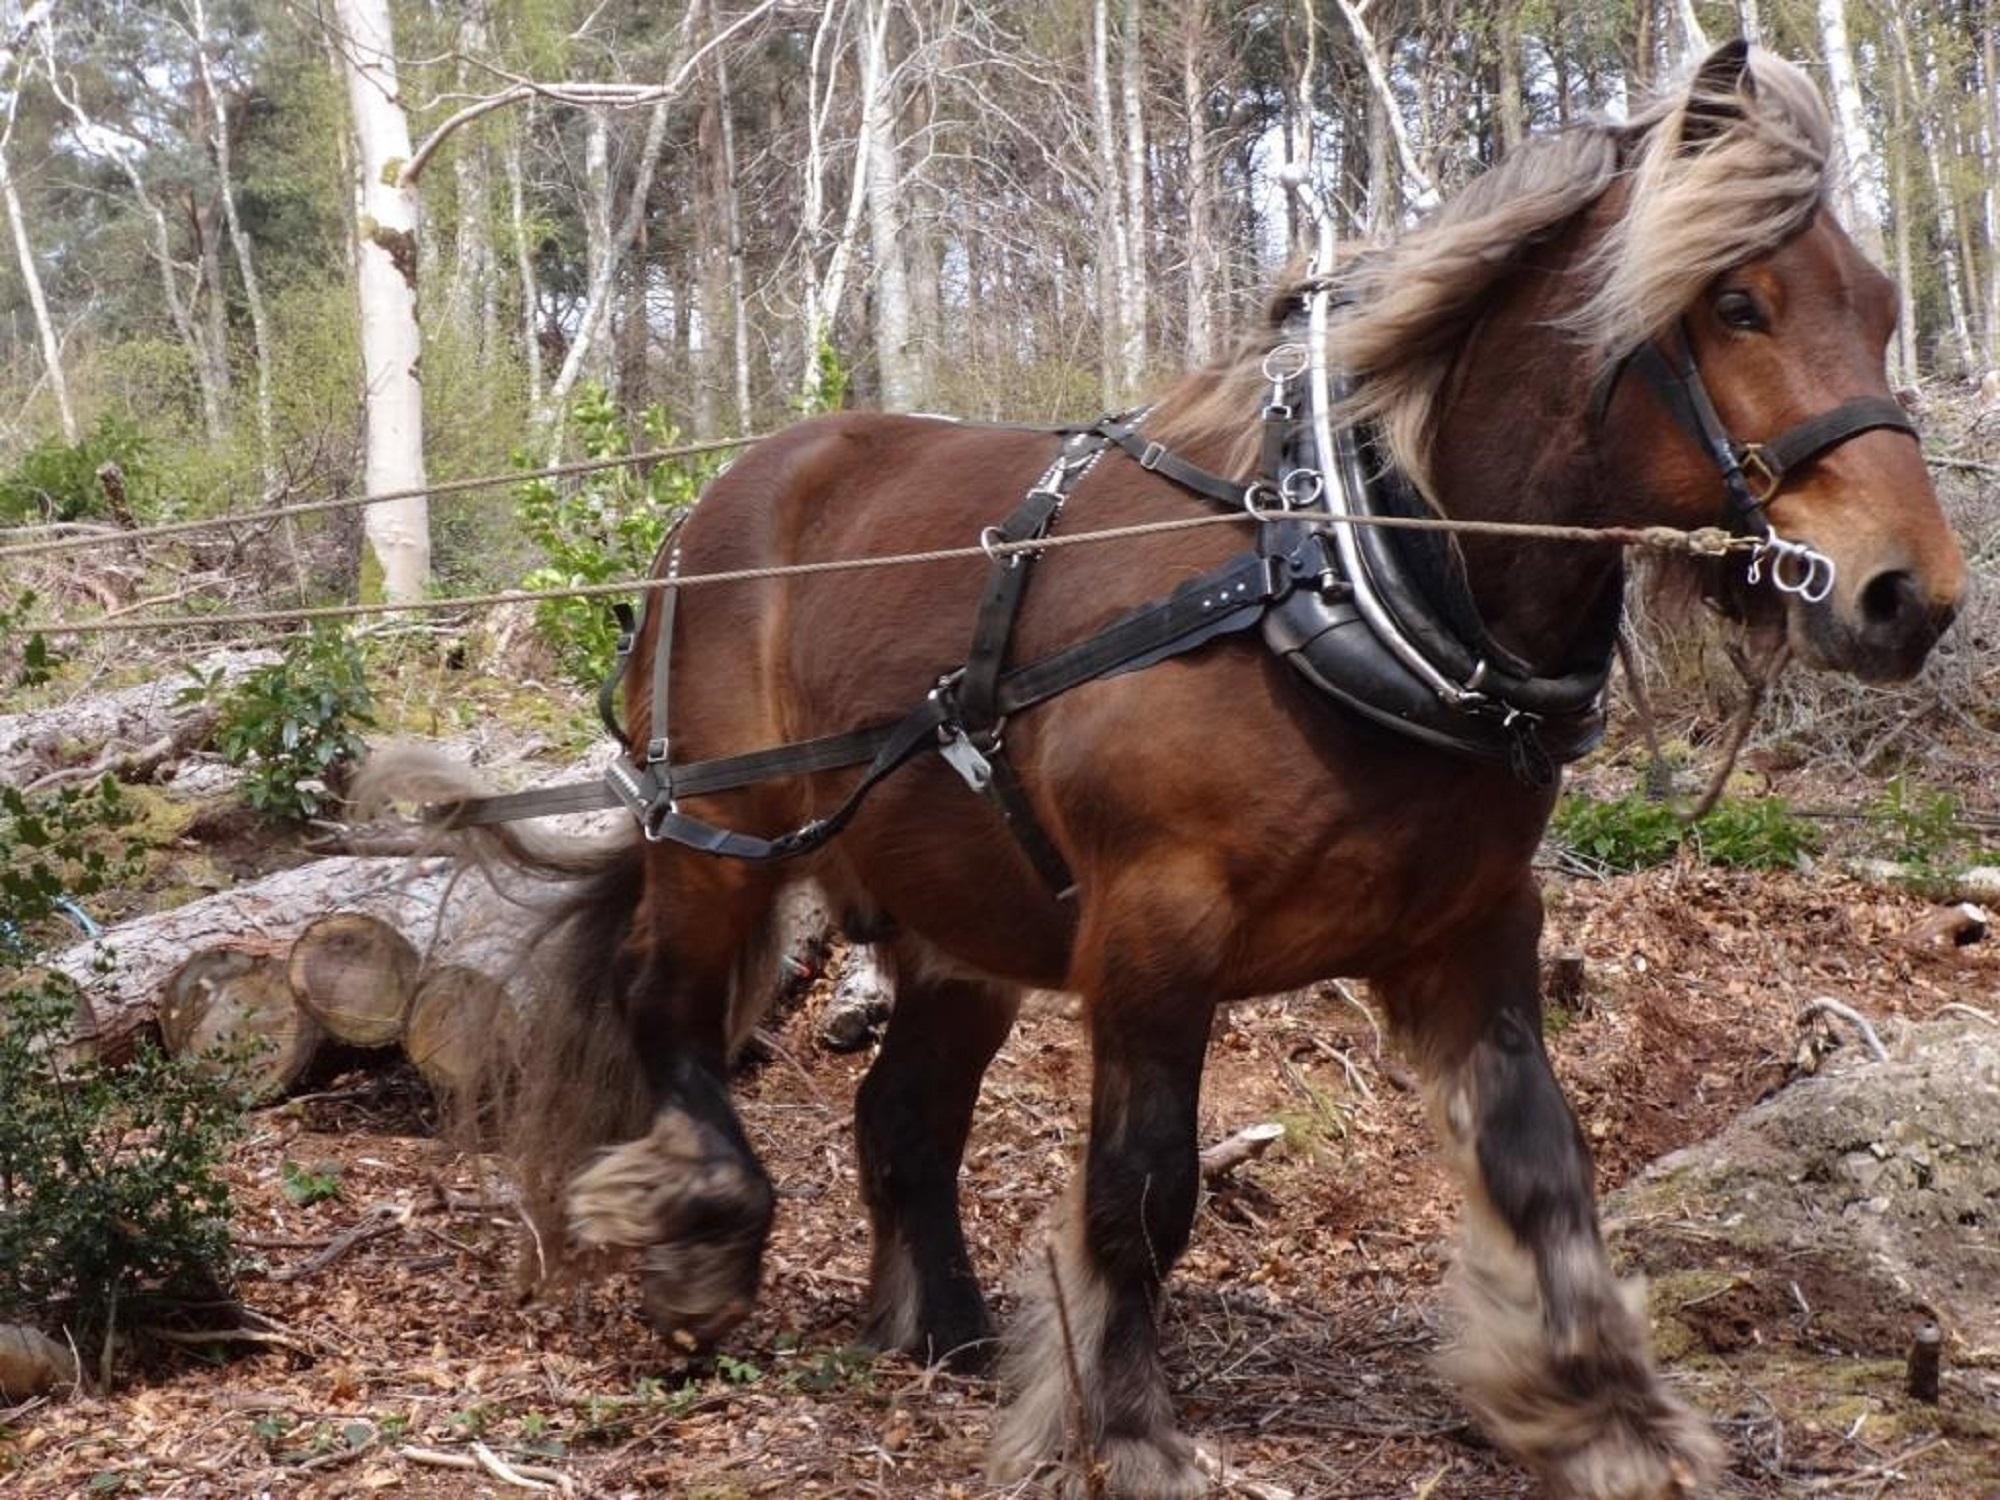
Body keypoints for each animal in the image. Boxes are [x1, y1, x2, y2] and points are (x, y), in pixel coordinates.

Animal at [364, 42, 1963, 1500]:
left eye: (1884, 309)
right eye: (1738, 305)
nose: (1912, 595)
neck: (1349, 577)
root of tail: (717, 502)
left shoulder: (1471, 934)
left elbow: (1542, 1170)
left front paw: (1607, 1419)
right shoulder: (1157, 926)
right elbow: (1141, 1195)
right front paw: (1119, 1433)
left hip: (963, 920)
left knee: (900, 1115)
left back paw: (945, 1328)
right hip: (715, 834)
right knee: (668, 1011)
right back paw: (700, 1237)